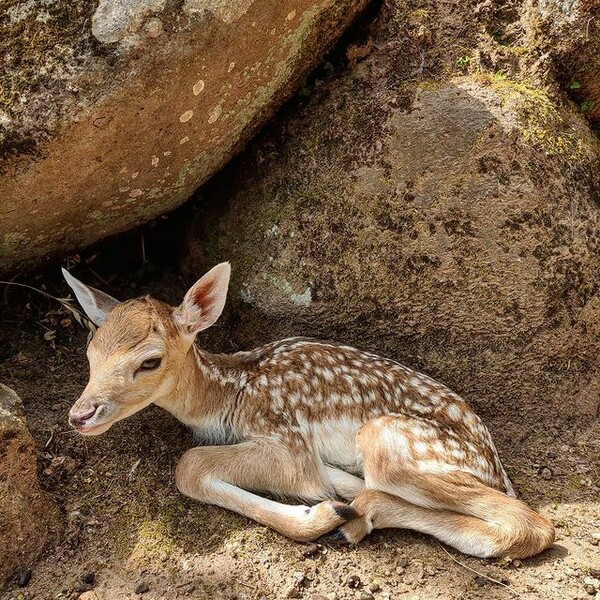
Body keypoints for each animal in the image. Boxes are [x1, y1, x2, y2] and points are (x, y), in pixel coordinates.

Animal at [63, 262, 556, 556]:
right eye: (90, 350)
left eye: (150, 361)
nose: (80, 415)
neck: (229, 395)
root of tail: (494, 463)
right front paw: (333, 502)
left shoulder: (288, 440)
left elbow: (190, 464)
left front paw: (314, 514)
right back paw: (352, 513)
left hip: (392, 440)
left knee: (532, 524)